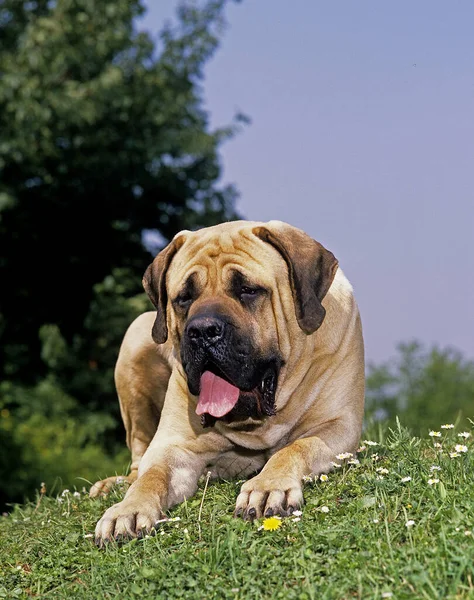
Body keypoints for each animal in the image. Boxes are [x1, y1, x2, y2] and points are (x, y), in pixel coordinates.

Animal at [93, 219, 366, 544]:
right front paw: (127, 510)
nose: (202, 330)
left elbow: (296, 448)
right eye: (184, 297)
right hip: (136, 336)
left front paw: (266, 486)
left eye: (247, 290)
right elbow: (152, 476)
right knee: (138, 460)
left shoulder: (339, 427)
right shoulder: (174, 448)